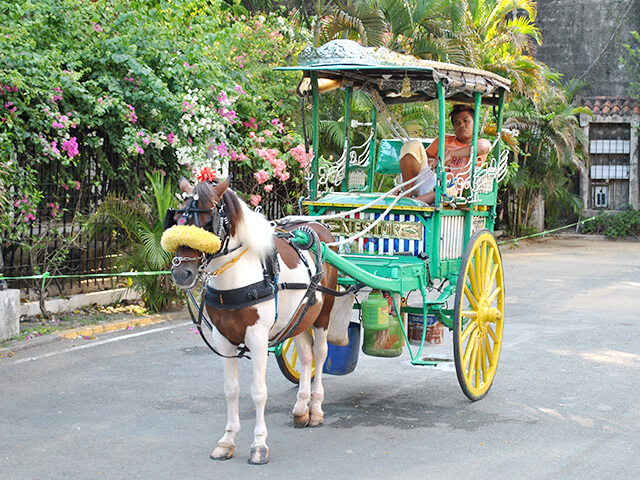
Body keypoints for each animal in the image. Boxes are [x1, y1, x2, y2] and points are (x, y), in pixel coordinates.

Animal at [162, 177, 338, 464]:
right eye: (176, 219)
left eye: (208, 222)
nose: (182, 273)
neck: (236, 276)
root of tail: (318, 227)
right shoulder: (223, 338)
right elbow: (231, 389)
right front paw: (227, 440)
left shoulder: (256, 338)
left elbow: (258, 392)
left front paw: (259, 445)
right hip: (299, 317)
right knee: (305, 356)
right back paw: (301, 407)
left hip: (323, 315)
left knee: (321, 355)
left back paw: (316, 409)